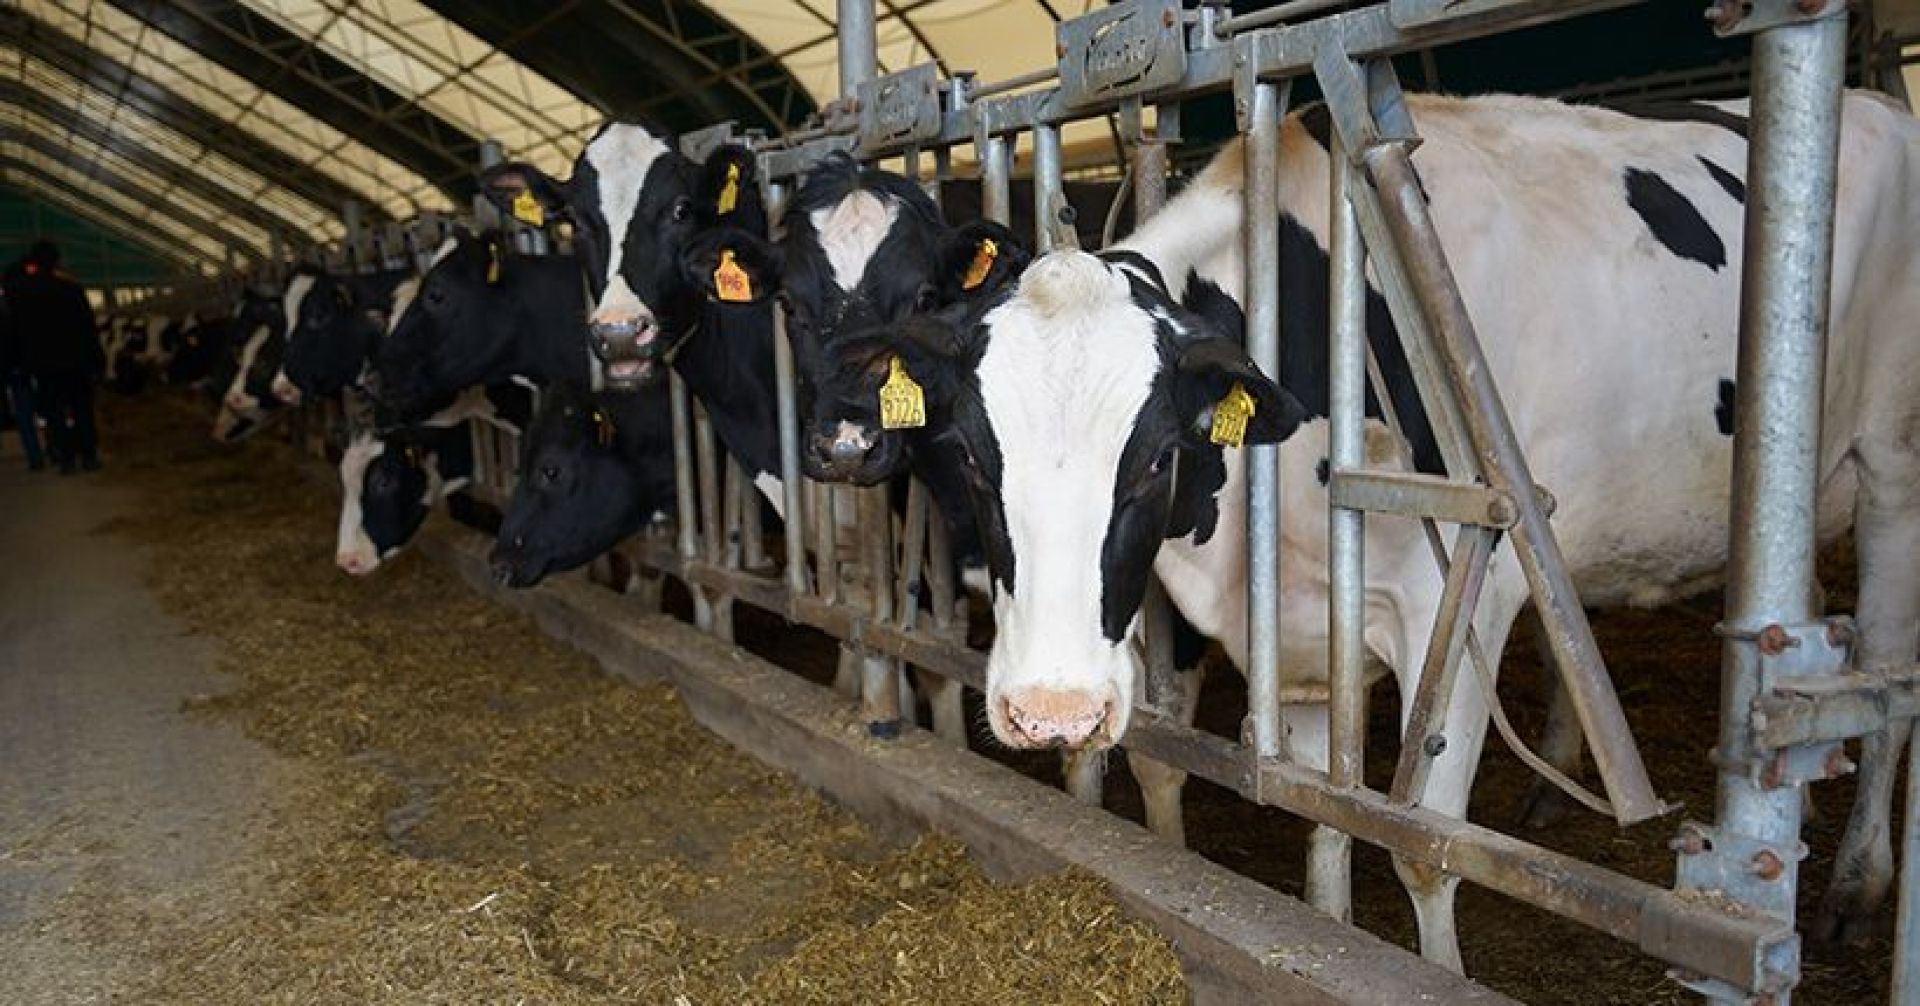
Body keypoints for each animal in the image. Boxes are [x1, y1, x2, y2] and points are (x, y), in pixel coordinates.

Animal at [846, 92, 1920, 969]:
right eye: (971, 455)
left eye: (1154, 458)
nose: (1051, 711)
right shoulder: (1302, 625)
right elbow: (1322, 814)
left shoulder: (1468, 599)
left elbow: (1427, 848)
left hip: (1892, 469)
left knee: (1889, 675)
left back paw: (1854, 887)